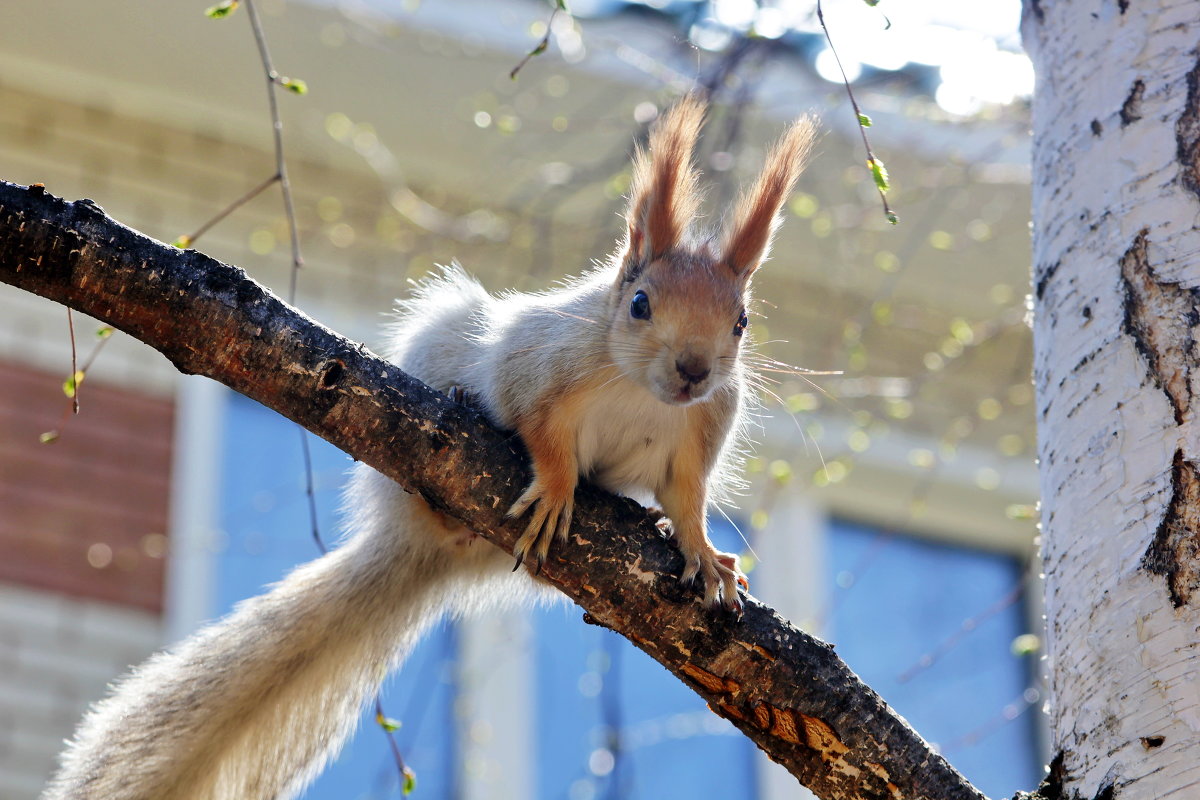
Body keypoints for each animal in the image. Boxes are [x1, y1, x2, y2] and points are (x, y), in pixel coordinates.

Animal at [44, 98, 816, 800]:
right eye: (640, 304)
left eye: (741, 323)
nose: (694, 370)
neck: (642, 392)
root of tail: (425, 547)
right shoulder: (539, 370)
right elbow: (541, 431)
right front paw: (558, 487)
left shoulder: (701, 431)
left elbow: (686, 497)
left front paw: (702, 550)